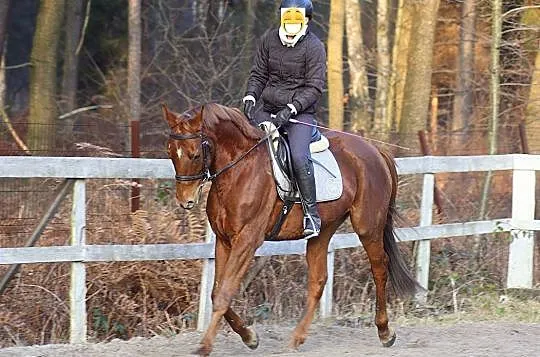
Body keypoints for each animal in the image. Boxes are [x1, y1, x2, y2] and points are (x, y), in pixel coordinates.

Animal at [163, 102, 418, 354]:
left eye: (195, 154)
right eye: (170, 152)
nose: (185, 201)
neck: (239, 170)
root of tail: (375, 150)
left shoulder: (246, 241)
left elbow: (224, 293)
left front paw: (205, 346)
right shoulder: (224, 241)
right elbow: (216, 292)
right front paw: (249, 337)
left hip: (368, 227)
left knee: (379, 268)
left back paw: (384, 332)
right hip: (323, 230)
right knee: (318, 279)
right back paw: (296, 338)